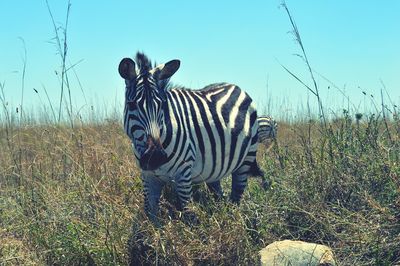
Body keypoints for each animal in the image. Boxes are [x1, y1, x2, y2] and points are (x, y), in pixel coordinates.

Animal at [119, 52, 274, 222]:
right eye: (131, 104)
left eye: (162, 104)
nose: (156, 157)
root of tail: (235, 86)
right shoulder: (148, 176)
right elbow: (150, 215)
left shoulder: (184, 174)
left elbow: (188, 215)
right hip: (215, 169)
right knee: (219, 195)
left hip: (246, 159)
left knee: (236, 197)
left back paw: (235, 221)